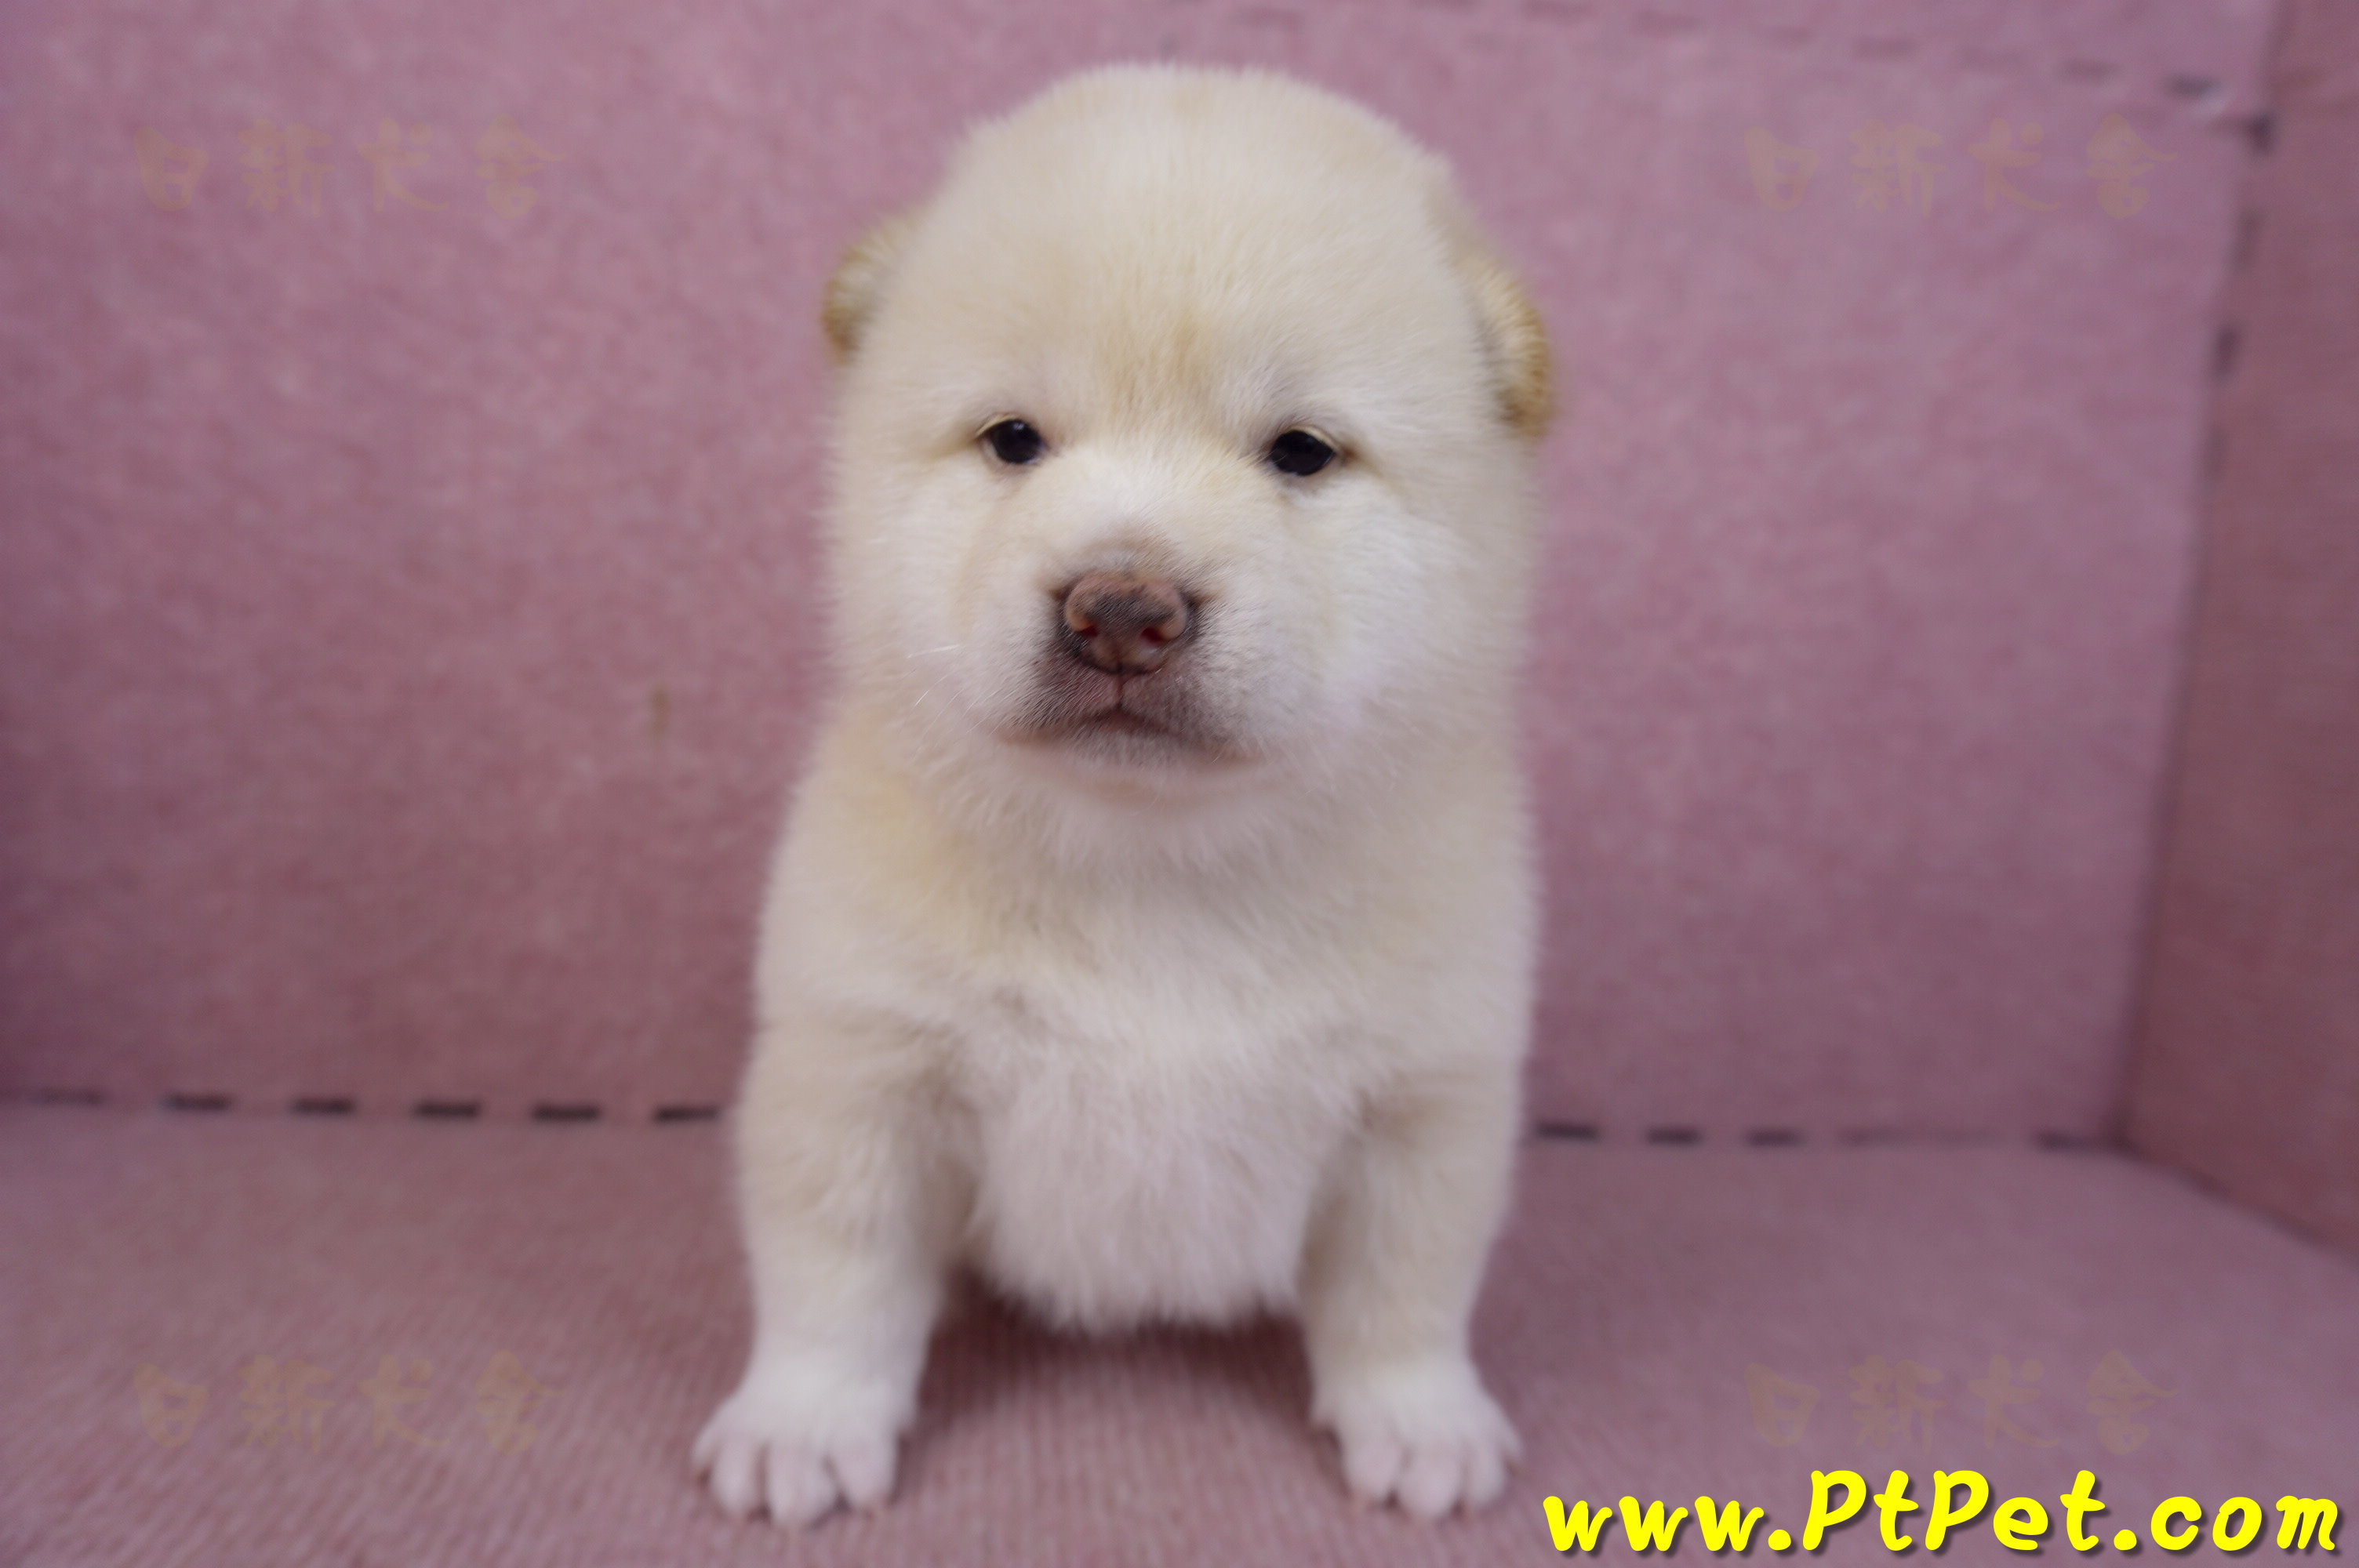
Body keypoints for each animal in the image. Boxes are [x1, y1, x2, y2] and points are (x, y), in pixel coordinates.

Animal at [694, 63, 1554, 1526]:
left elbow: (1401, 1295)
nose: (1120, 609)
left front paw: (1421, 1427)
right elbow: (836, 1278)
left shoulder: (1422, 1102)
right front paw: (801, 1426)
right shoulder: (861, 1071)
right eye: (1014, 442)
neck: (1155, 869)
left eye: (1300, 454)